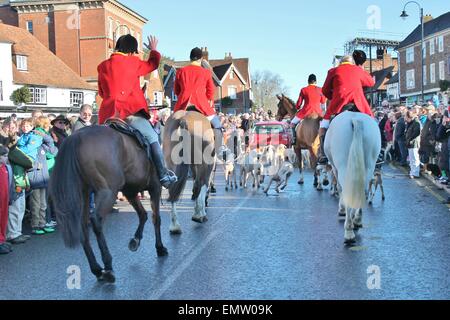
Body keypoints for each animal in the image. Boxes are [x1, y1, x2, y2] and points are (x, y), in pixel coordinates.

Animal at [48, 124, 167, 282]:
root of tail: (76, 136)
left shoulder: (130, 191)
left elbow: (143, 215)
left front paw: (135, 240)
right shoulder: (155, 187)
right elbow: (156, 218)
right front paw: (159, 247)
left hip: (84, 193)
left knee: (83, 225)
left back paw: (97, 269)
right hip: (108, 191)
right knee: (96, 220)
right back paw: (108, 266)